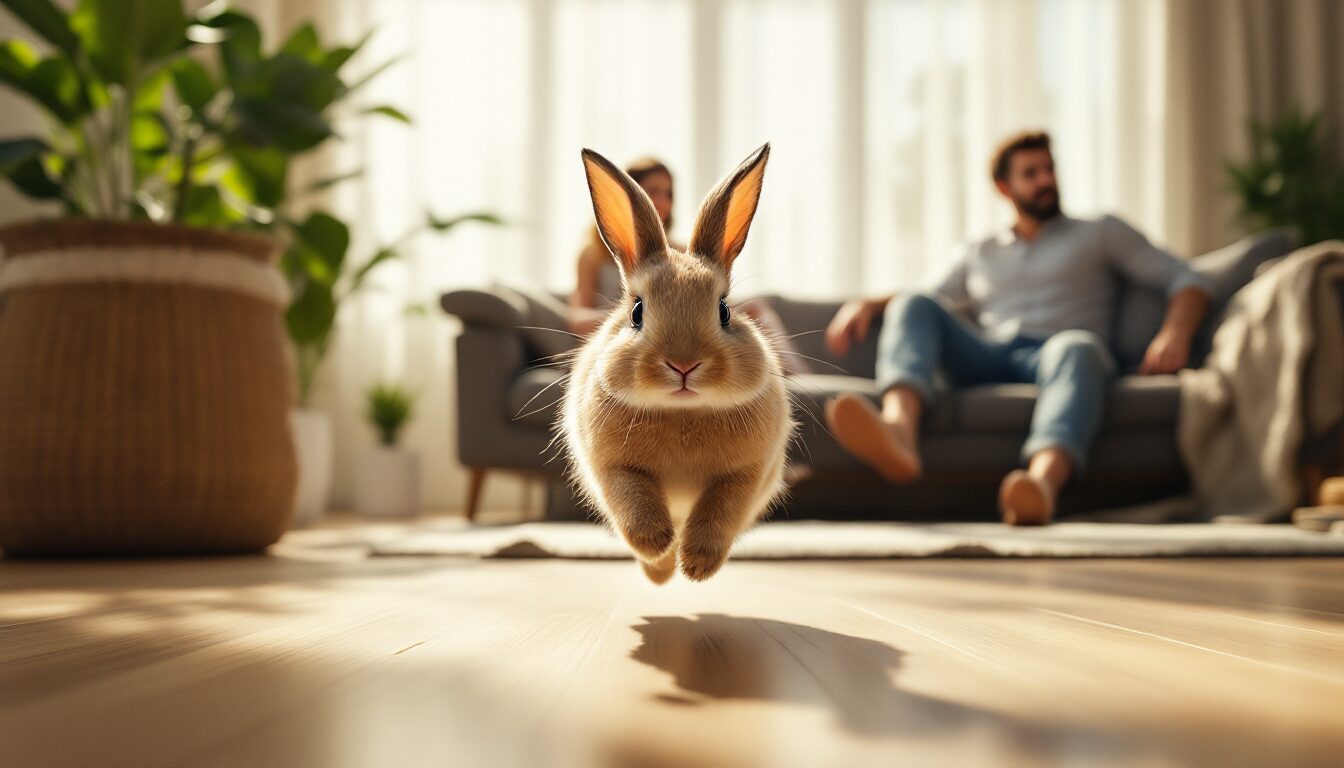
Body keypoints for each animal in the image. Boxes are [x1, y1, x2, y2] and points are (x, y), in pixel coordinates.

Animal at [560, 144, 795, 584]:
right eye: (637, 312)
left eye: (724, 311)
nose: (683, 364)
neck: (682, 412)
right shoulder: (612, 467)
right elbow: (633, 504)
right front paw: (659, 552)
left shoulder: (746, 475)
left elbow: (719, 514)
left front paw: (697, 567)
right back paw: (659, 571)